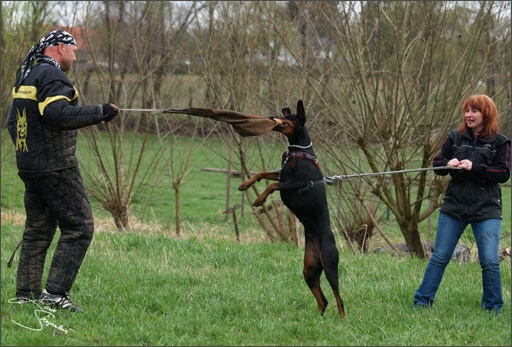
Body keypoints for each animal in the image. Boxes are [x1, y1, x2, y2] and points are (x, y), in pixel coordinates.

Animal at [238, 100, 346, 318]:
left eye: (291, 117)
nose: (272, 116)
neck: (297, 149)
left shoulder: (299, 182)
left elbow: (273, 185)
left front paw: (260, 199)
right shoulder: (282, 173)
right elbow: (263, 173)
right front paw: (246, 184)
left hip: (330, 264)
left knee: (339, 298)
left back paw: (342, 318)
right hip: (310, 269)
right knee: (323, 300)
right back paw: (318, 318)